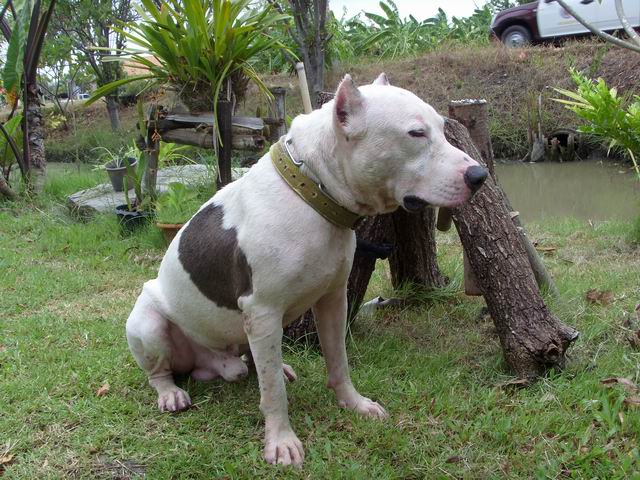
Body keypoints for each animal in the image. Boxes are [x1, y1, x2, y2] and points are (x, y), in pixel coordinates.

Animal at [125, 73, 487, 467]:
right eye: (416, 133)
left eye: (442, 127)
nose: (479, 174)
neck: (312, 189)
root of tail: (210, 362)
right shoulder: (263, 312)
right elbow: (273, 394)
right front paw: (281, 441)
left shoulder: (333, 299)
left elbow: (338, 360)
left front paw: (353, 404)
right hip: (148, 323)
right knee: (159, 370)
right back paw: (170, 392)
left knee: (255, 361)